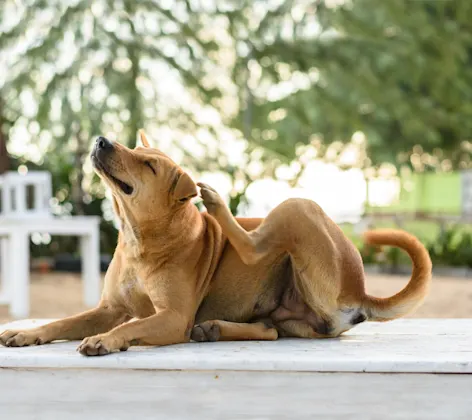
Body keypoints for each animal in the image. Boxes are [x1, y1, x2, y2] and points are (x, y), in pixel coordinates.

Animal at [0, 131, 432, 354]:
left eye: (148, 164)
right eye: (137, 150)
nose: (102, 140)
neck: (140, 239)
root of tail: (359, 289)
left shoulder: (172, 317)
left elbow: (131, 326)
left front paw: (106, 340)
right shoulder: (109, 308)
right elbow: (63, 321)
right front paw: (28, 333)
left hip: (298, 208)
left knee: (254, 245)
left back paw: (216, 203)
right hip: (291, 317)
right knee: (270, 330)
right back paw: (215, 329)